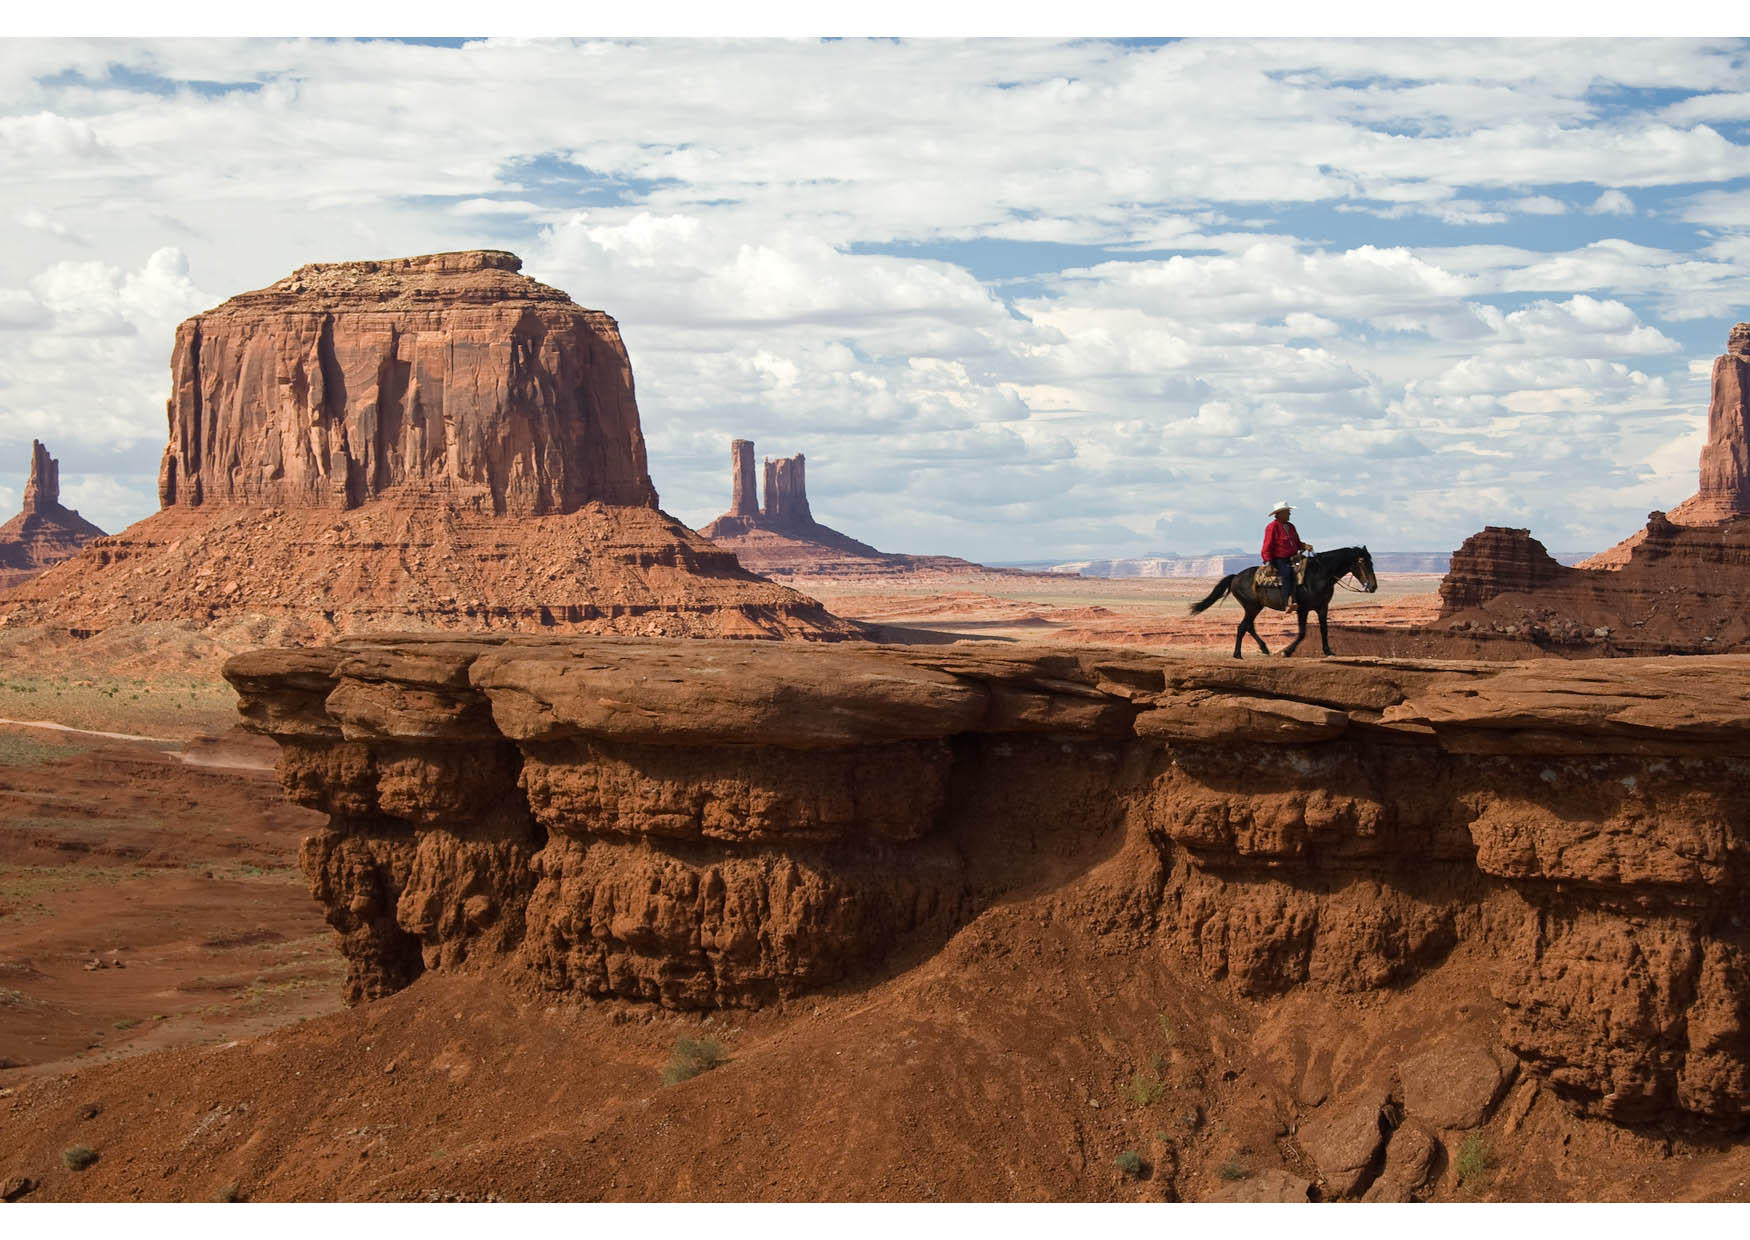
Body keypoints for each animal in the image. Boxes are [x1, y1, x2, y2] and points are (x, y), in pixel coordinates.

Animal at [1190, 545, 1379, 657]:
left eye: (1372, 561)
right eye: (1363, 562)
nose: (1373, 586)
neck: (1320, 574)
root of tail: (1236, 576)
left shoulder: (1322, 607)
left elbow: (1324, 629)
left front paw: (1328, 651)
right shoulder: (1303, 608)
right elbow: (1302, 632)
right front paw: (1287, 651)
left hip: (1255, 607)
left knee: (1248, 626)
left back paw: (1264, 648)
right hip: (1251, 607)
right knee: (1242, 627)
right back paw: (1238, 654)